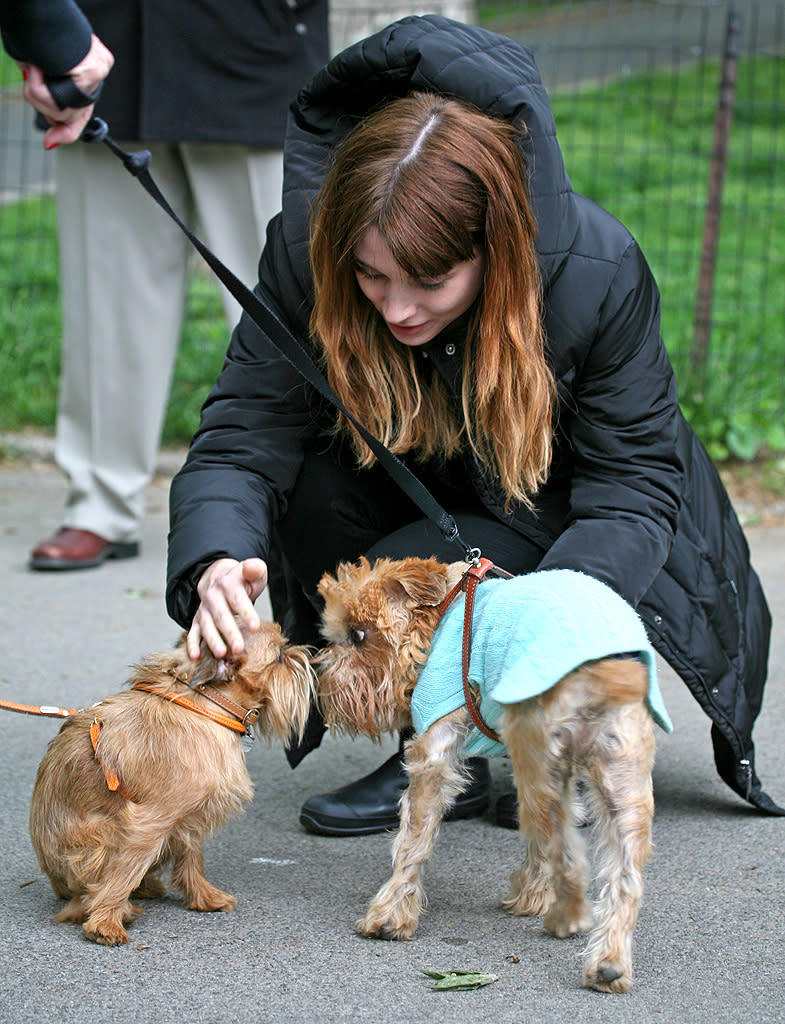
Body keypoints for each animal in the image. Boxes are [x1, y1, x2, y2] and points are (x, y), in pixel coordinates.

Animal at [313, 557, 671, 995]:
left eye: (359, 636)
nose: (322, 677)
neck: (445, 609)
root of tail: (600, 665)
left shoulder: (433, 747)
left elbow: (412, 840)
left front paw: (390, 915)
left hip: (538, 758)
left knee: (566, 853)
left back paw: (566, 917)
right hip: (618, 774)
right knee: (622, 874)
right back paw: (609, 962)